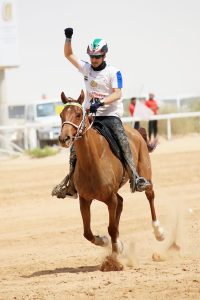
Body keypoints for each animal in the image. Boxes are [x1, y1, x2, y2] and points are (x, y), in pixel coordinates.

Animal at [57, 90, 165, 254]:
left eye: (78, 114)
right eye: (61, 115)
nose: (64, 138)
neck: (92, 163)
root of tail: (137, 132)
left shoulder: (110, 200)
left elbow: (112, 228)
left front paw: (114, 255)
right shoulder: (85, 200)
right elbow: (87, 233)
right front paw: (104, 241)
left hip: (145, 174)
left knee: (150, 195)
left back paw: (158, 231)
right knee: (121, 202)